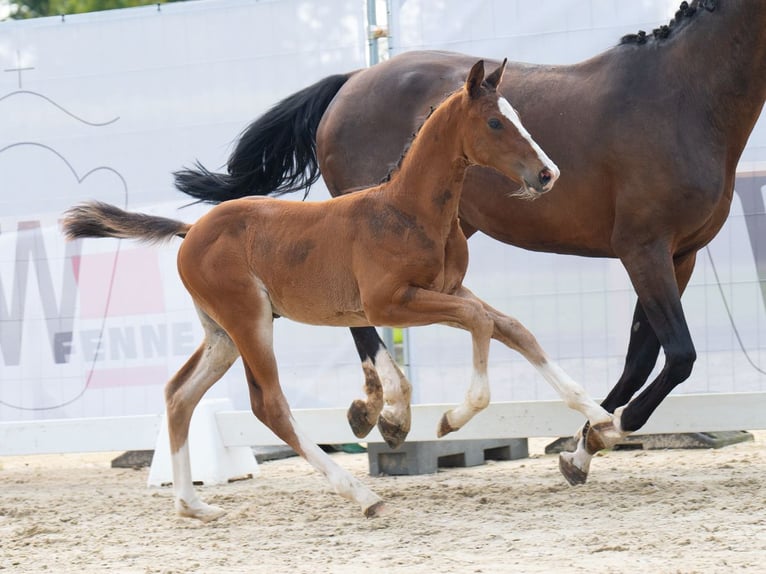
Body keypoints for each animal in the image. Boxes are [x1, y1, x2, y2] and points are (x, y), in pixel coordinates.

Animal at [63, 62, 616, 520]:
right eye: (496, 123)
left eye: (517, 116)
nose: (547, 174)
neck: (406, 210)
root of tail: (189, 230)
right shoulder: (390, 302)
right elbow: (482, 326)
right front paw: (450, 420)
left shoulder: (452, 289)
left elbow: (514, 329)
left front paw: (602, 420)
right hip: (249, 320)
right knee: (269, 406)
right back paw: (362, 495)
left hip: (220, 333)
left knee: (179, 395)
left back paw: (193, 505)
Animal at [174, 1, 766, 486]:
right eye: (497, 123)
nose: (548, 173)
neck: (679, 97)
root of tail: (353, 79)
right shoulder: (643, 248)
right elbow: (679, 354)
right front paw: (607, 430)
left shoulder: (678, 255)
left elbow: (642, 356)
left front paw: (586, 443)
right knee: (358, 315)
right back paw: (389, 411)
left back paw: (377, 408)